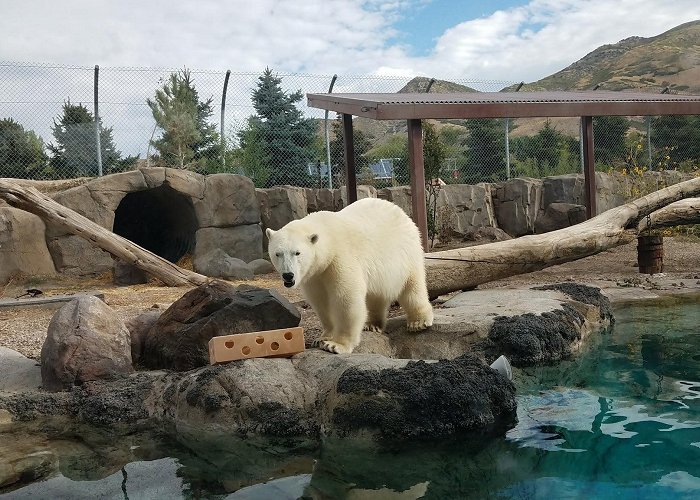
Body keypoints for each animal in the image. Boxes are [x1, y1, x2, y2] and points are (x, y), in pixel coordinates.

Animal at [266, 197, 432, 354]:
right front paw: (321, 338)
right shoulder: (315, 275)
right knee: (377, 294)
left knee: (412, 286)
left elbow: (346, 298)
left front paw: (335, 345)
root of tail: (401, 211)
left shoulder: (339, 258)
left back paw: (418, 322)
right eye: (278, 253)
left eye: (297, 253)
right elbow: (321, 301)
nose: (288, 275)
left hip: (405, 252)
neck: (328, 238)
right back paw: (372, 324)